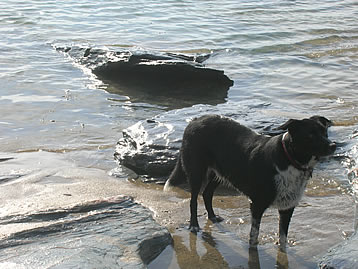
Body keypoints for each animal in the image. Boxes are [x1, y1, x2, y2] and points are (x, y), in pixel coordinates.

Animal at [165, 114, 336, 248]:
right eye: (310, 135)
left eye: (325, 132)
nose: (333, 145)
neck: (290, 159)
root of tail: (194, 120)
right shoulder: (257, 204)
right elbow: (254, 236)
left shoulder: (288, 206)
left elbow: (283, 238)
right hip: (197, 171)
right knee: (193, 200)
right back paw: (194, 225)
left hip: (220, 173)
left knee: (207, 194)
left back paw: (212, 216)